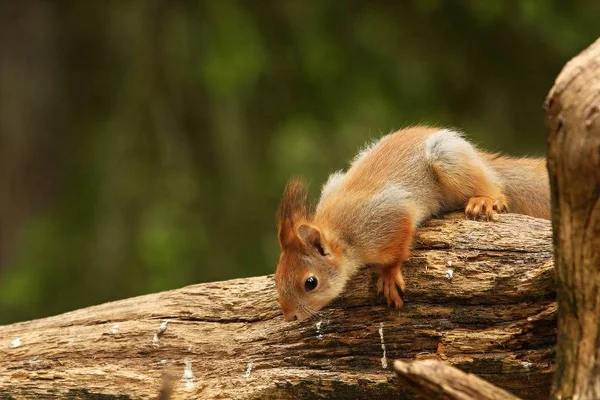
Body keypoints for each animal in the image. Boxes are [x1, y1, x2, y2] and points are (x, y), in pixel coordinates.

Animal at [274, 125, 552, 322]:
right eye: (277, 277)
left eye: (310, 282)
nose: (290, 317)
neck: (341, 234)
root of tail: (480, 158)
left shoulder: (388, 215)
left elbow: (398, 246)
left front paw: (389, 274)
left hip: (449, 158)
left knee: (495, 188)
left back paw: (486, 199)